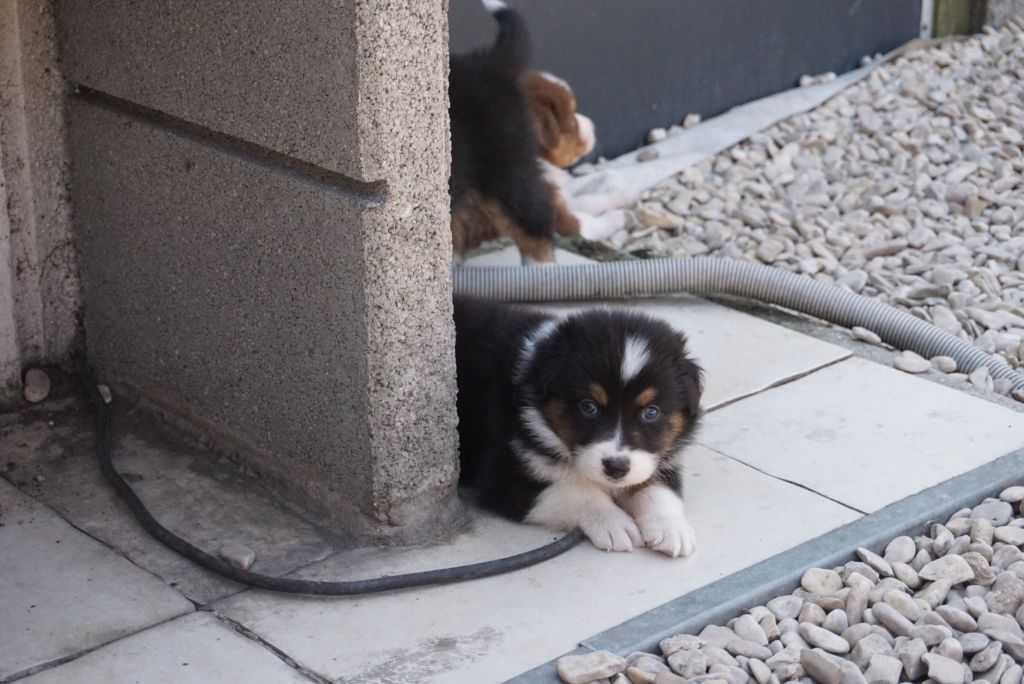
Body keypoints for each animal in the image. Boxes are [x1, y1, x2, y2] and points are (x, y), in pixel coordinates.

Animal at [456, 296, 704, 557]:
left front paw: (671, 528)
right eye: (589, 406)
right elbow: (573, 492)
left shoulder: (659, 459)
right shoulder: (503, 475)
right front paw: (614, 523)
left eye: (651, 412)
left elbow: (657, 488)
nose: (616, 467)